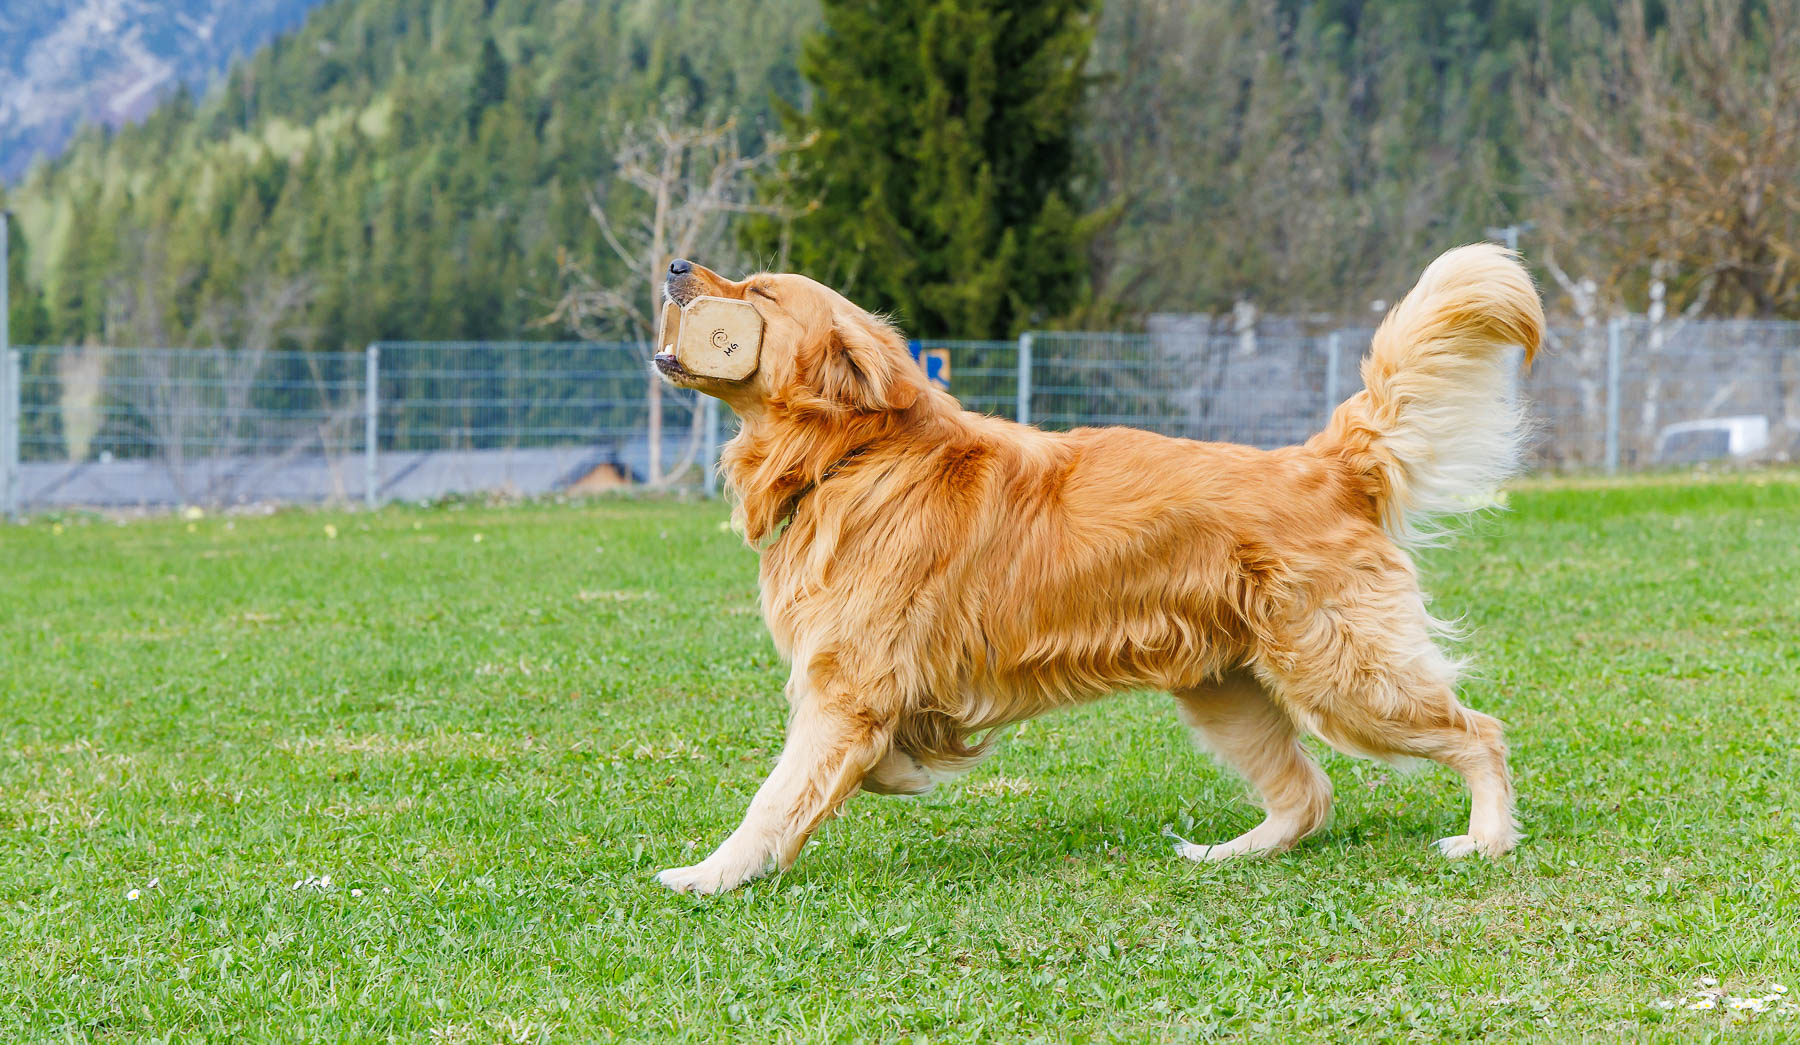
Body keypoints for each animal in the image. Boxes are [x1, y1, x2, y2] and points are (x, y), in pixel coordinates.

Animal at [652, 246, 1544, 894]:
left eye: (760, 292)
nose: (675, 265)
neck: (852, 454)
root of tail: (1323, 462)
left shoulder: (845, 687)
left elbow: (775, 798)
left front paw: (710, 874)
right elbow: (860, 765)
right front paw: (898, 769)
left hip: (1344, 674)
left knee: (1481, 733)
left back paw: (1487, 836)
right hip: (1225, 690)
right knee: (1307, 796)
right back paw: (1225, 853)